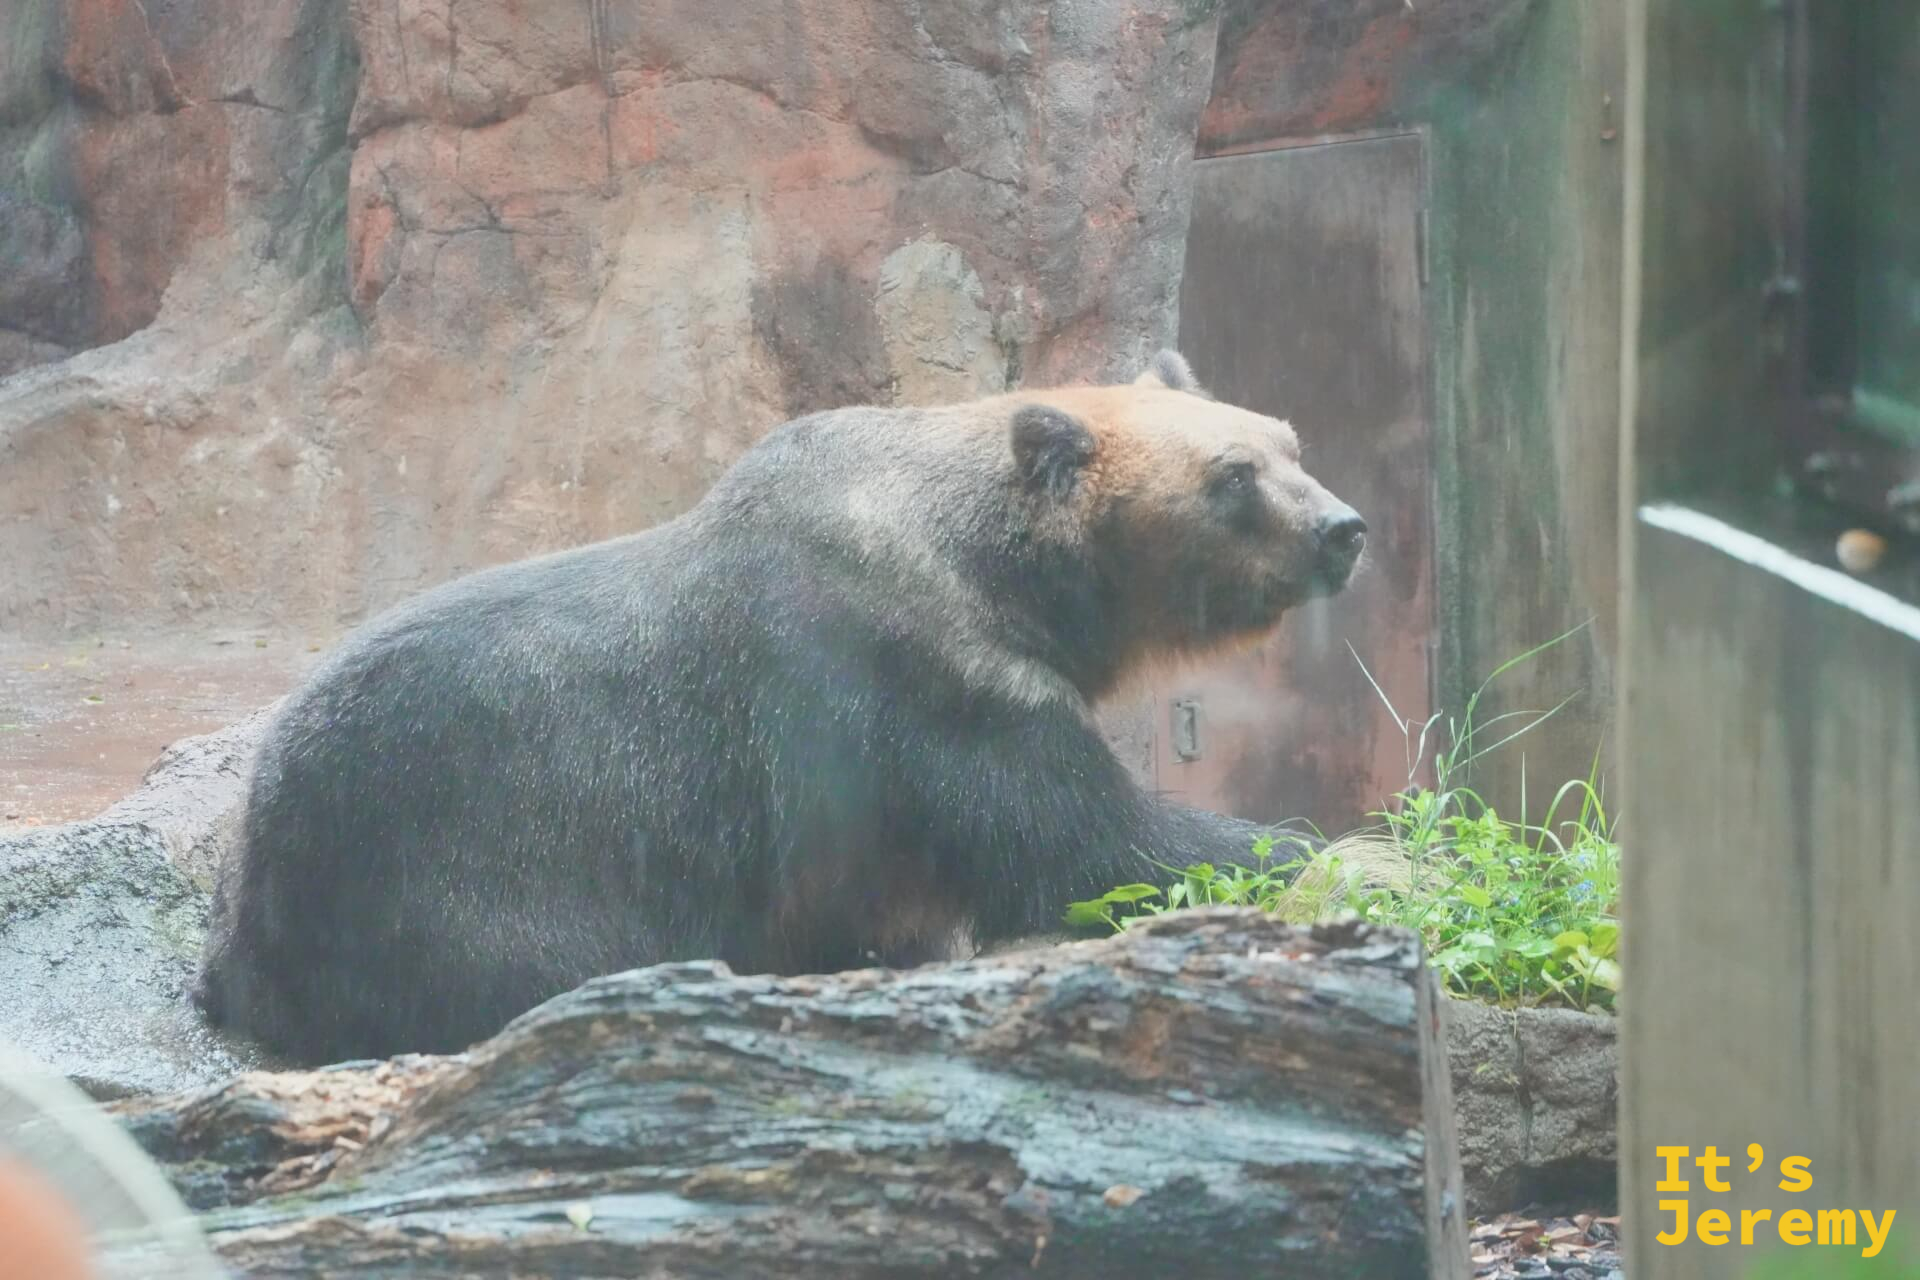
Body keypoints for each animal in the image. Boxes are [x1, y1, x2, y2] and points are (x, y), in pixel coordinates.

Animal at [195, 350, 1367, 1064]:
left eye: (1289, 441)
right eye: (1231, 475)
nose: (1344, 528)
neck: (990, 563)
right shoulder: (917, 673)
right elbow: (1083, 837)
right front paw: (1333, 847)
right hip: (446, 861)